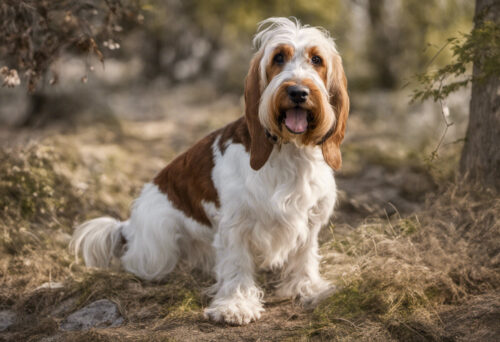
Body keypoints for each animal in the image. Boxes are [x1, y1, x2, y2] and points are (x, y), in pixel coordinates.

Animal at [70, 16, 350, 326]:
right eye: (278, 57)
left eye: (317, 59)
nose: (298, 92)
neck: (288, 151)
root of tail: (128, 226)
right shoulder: (236, 224)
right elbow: (237, 264)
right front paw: (236, 305)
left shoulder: (309, 219)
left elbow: (304, 257)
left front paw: (307, 289)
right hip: (158, 245)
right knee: (137, 260)